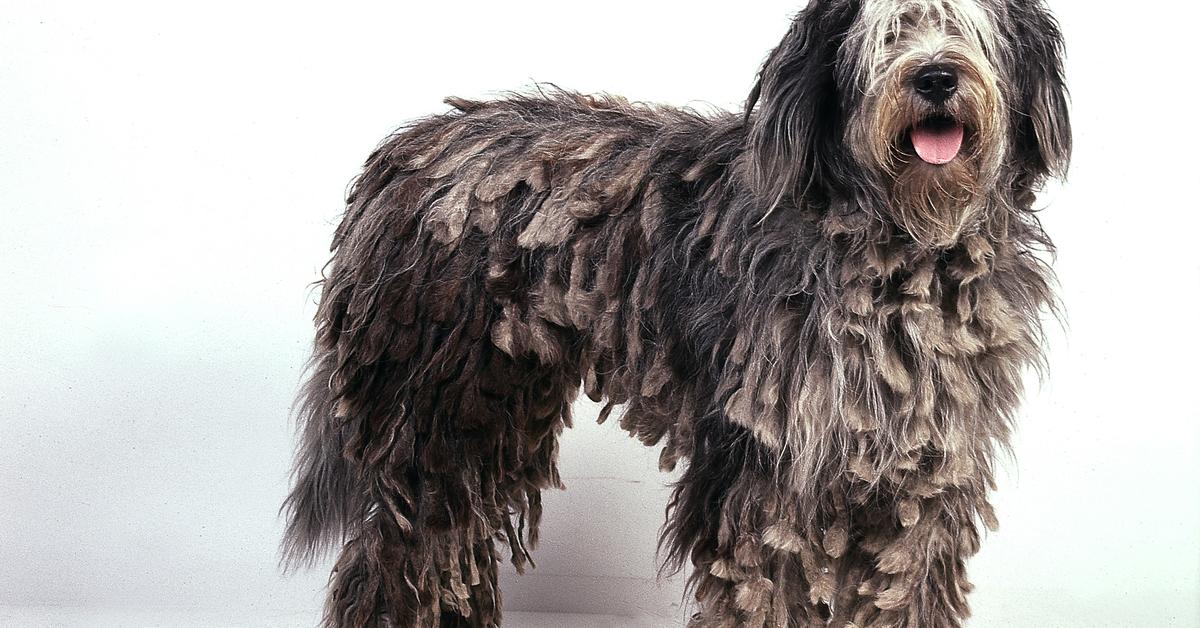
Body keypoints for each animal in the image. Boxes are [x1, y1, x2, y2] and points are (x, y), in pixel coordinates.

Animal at [280, 1, 1070, 624]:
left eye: (970, 29)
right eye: (887, 33)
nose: (935, 76)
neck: (895, 247)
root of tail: (401, 156)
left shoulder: (919, 483)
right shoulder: (769, 479)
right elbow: (764, 593)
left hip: (495, 407)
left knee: (449, 553)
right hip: (434, 410)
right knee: (397, 559)